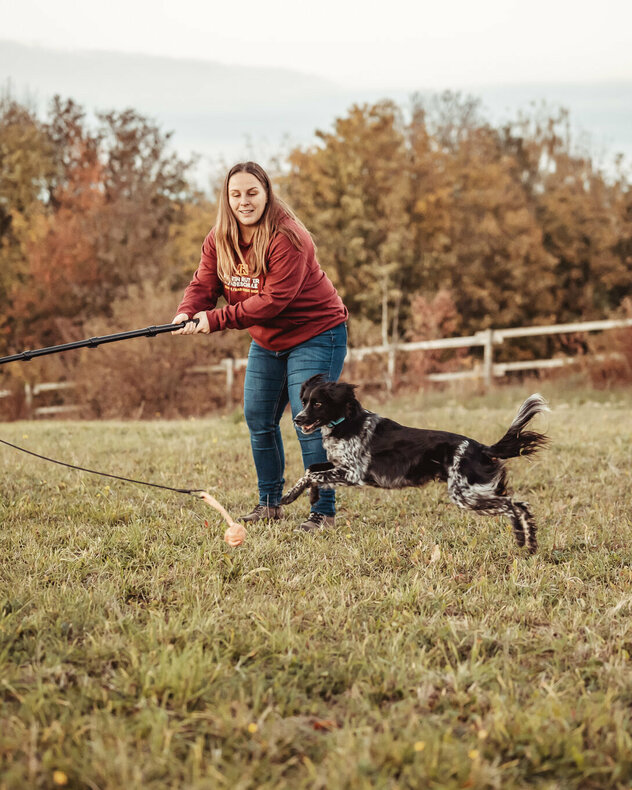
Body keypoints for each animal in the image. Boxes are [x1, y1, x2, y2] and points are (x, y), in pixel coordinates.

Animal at [282, 378, 548, 552]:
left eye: (317, 403)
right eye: (304, 401)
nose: (297, 419)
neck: (345, 422)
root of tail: (480, 446)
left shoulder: (353, 474)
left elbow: (313, 475)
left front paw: (292, 496)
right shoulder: (338, 465)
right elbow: (311, 470)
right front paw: (304, 495)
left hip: (466, 494)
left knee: (512, 505)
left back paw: (522, 539)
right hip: (474, 492)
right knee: (520, 504)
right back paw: (530, 544)